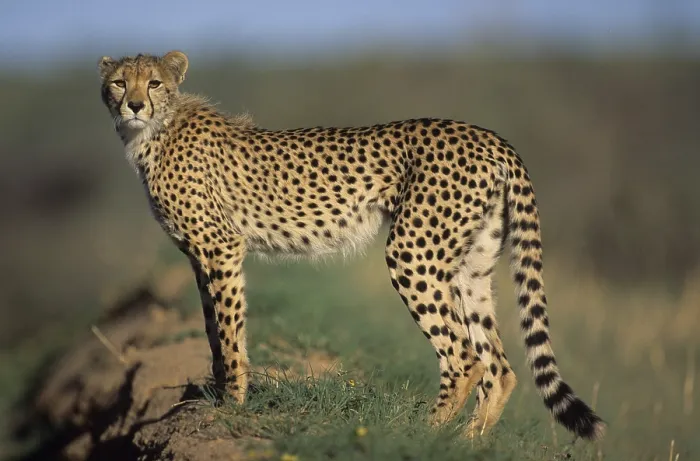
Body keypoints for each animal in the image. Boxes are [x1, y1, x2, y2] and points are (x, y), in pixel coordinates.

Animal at [98, 50, 605, 440]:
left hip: (413, 254)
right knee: (498, 367)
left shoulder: (221, 248)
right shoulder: (199, 257)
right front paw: (218, 398)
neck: (153, 133)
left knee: (464, 360)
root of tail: (490, 137)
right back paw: (467, 442)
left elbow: (229, 334)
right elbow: (211, 330)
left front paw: (231, 407)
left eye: (155, 83)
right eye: (120, 83)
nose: (135, 106)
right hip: (471, 266)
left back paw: (423, 434)